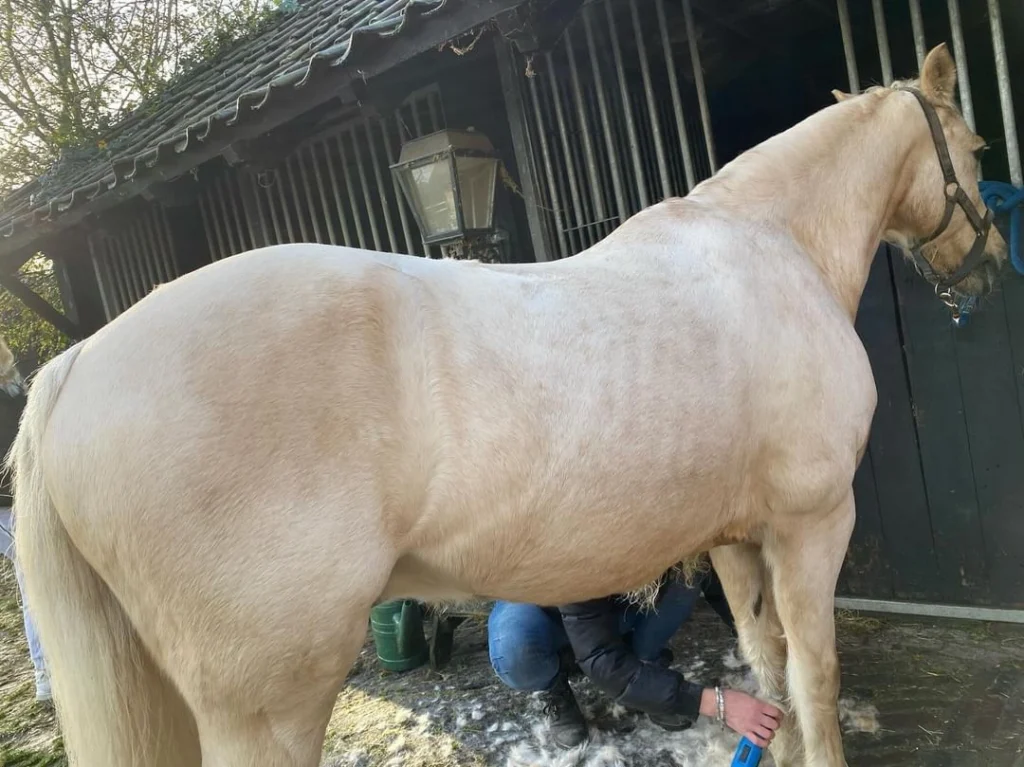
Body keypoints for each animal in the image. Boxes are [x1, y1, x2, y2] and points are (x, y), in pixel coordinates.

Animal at [8, 43, 1003, 767]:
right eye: (977, 151)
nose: (989, 266)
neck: (769, 243)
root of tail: (79, 362)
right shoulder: (810, 523)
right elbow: (815, 675)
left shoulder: (735, 535)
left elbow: (767, 665)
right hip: (269, 699)